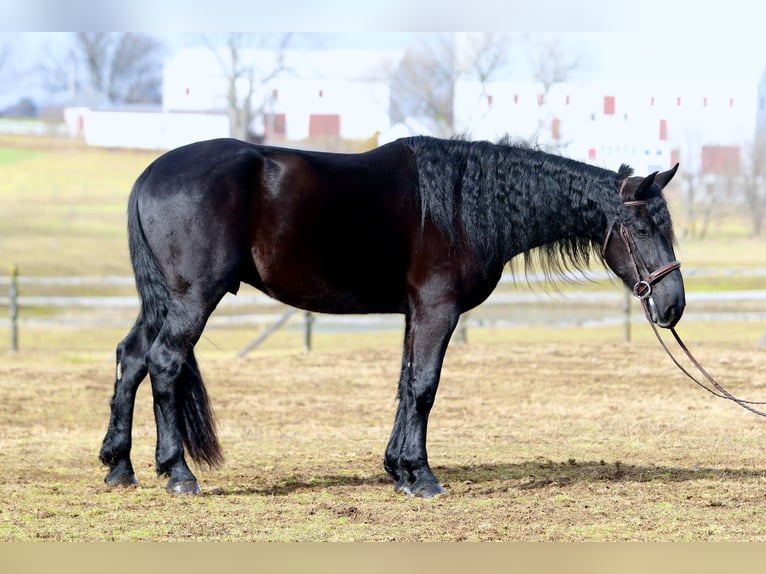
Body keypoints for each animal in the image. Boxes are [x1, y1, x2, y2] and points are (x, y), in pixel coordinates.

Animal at [99, 136, 685, 497]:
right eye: (642, 229)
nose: (673, 304)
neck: (459, 207)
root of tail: (150, 174)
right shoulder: (437, 310)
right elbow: (424, 386)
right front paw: (422, 476)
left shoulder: (415, 312)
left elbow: (406, 384)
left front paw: (399, 470)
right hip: (193, 298)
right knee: (164, 362)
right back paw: (177, 472)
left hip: (164, 301)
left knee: (132, 358)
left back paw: (120, 466)